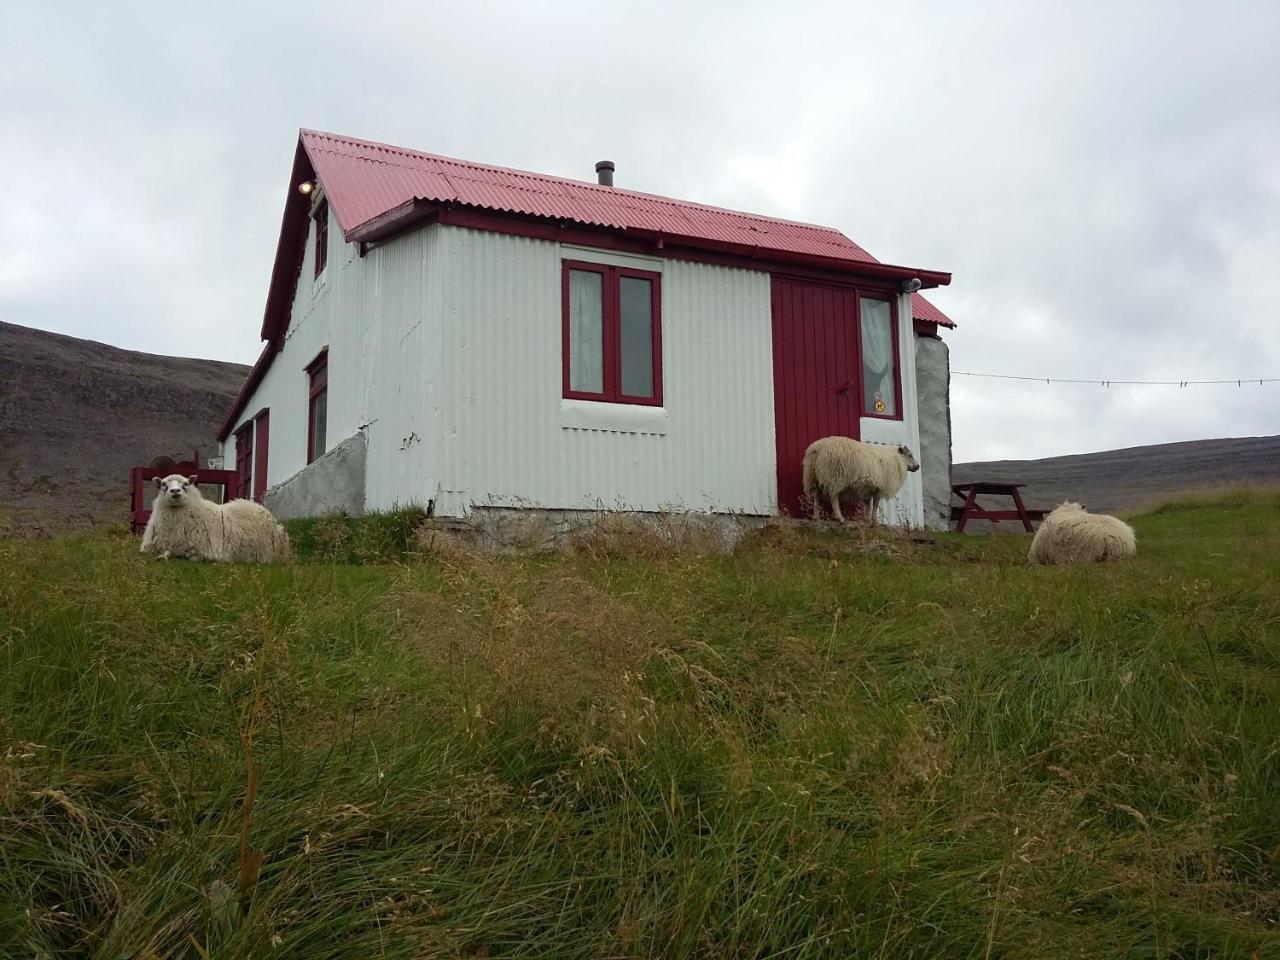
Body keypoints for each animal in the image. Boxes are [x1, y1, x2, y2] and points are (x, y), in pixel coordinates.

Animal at [142, 476, 290, 563]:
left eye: (186, 484)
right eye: (163, 484)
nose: (175, 491)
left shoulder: (207, 549)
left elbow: (193, 557)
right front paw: (162, 556)